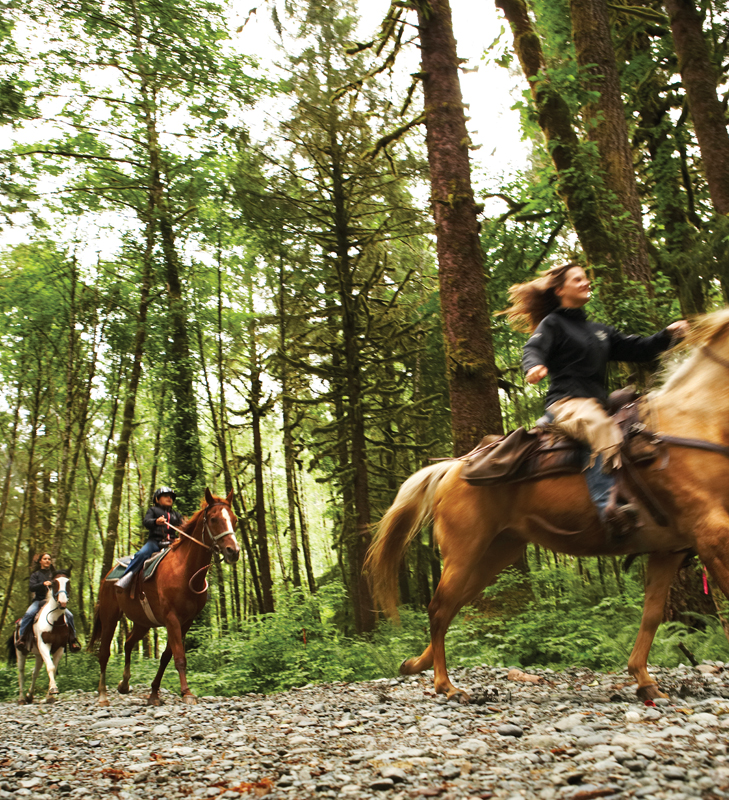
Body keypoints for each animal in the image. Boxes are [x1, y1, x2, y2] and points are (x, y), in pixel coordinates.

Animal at [7, 572, 73, 704]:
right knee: (21, 672)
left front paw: (50, 696)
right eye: (54, 583)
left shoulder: (60, 648)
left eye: (68, 582)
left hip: (38, 655)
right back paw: (21, 698)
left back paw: (29, 696)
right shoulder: (44, 646)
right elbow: (51, 667)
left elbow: (53, 668)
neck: (55, 621)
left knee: (35, 673)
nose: (62, 603)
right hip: (21, 651)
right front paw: (53, 689)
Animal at [89, 488, 239, 708]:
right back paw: (102, 695)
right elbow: (179, 657)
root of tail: (108, 575)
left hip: (142, 622)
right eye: (213, 519)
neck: (184, 570)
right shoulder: (171, 618)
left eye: (234, 520)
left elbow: (167, 656)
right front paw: (187, 693)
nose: (233, 551)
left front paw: (153, 693)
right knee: (104, 653)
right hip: (110, 617)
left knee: (128, 644)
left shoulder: (186, 621)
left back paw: (124, 684)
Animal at [364, 310, 729, 704]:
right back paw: (445, 684)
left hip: (495, 555)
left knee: (453, 606)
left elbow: (651, 613)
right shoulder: (712, 534)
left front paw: (644, 680)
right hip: (464, 552)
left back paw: (416, 665)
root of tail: (453, 466)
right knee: (440, 608)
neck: (695, 421)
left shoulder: (669, 549)